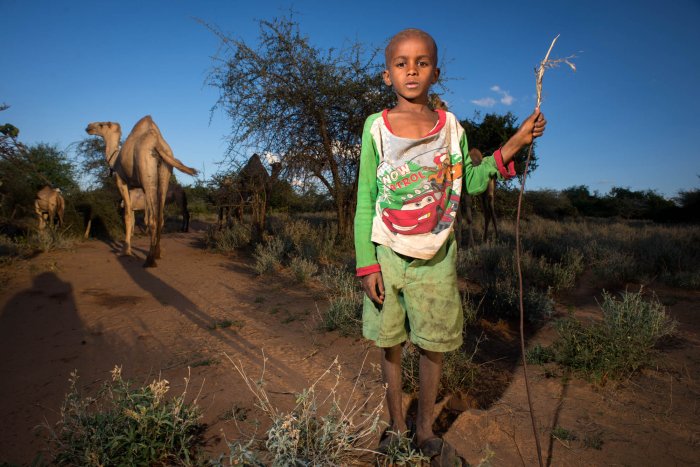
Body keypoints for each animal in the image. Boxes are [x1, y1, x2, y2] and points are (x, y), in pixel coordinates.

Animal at [87, 116, 198, 266]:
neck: (115, 160)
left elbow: (128, 215)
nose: (88, 127)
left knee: (156, 218)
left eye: (101, 124)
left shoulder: (122, 181)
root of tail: (157, 143)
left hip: (147, 170)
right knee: (160, 217)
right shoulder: (136, 188)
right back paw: (158, 253)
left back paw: (150, 260)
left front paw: (125, 250)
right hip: (164, 172)